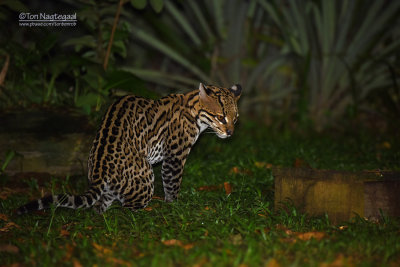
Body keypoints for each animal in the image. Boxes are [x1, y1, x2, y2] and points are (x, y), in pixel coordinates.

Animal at [17, 84, 242, 216]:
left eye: (236, 118)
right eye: (220, 117)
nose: (231, 133)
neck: (194, 110)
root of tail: (99, 171)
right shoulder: (174, 157)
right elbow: (172, 184)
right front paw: (173, 205)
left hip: (113, 188)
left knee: (100, 205)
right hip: (145, 176)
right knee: (127, 208)